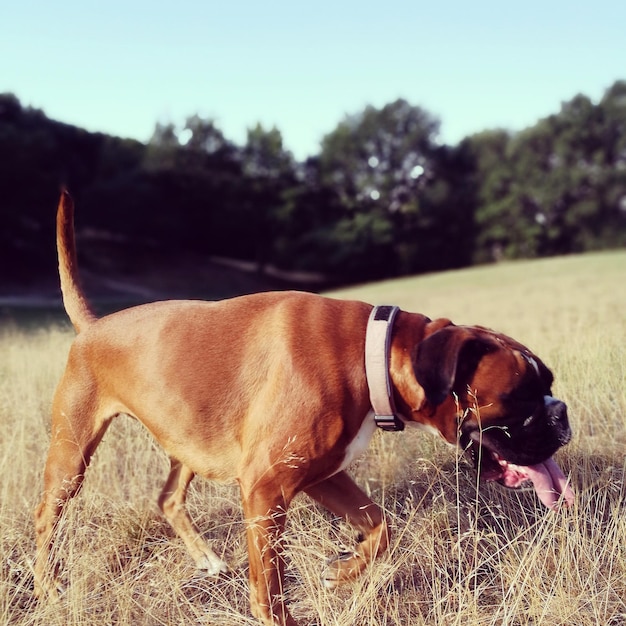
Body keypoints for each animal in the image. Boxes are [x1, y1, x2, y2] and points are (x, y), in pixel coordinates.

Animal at [33, 190, 572, 624]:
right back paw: (47, 588)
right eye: (519, 396)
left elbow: (381, 527)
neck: (370, 353)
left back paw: (206, 559)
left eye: (547, 383)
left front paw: (343, 572)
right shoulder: (266, 489)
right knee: (44, 517)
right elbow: (270, 591)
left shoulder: (322, 474)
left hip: (188, 440)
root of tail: (93, 326)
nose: (560, 412)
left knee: (167, 496)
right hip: (72, 455)